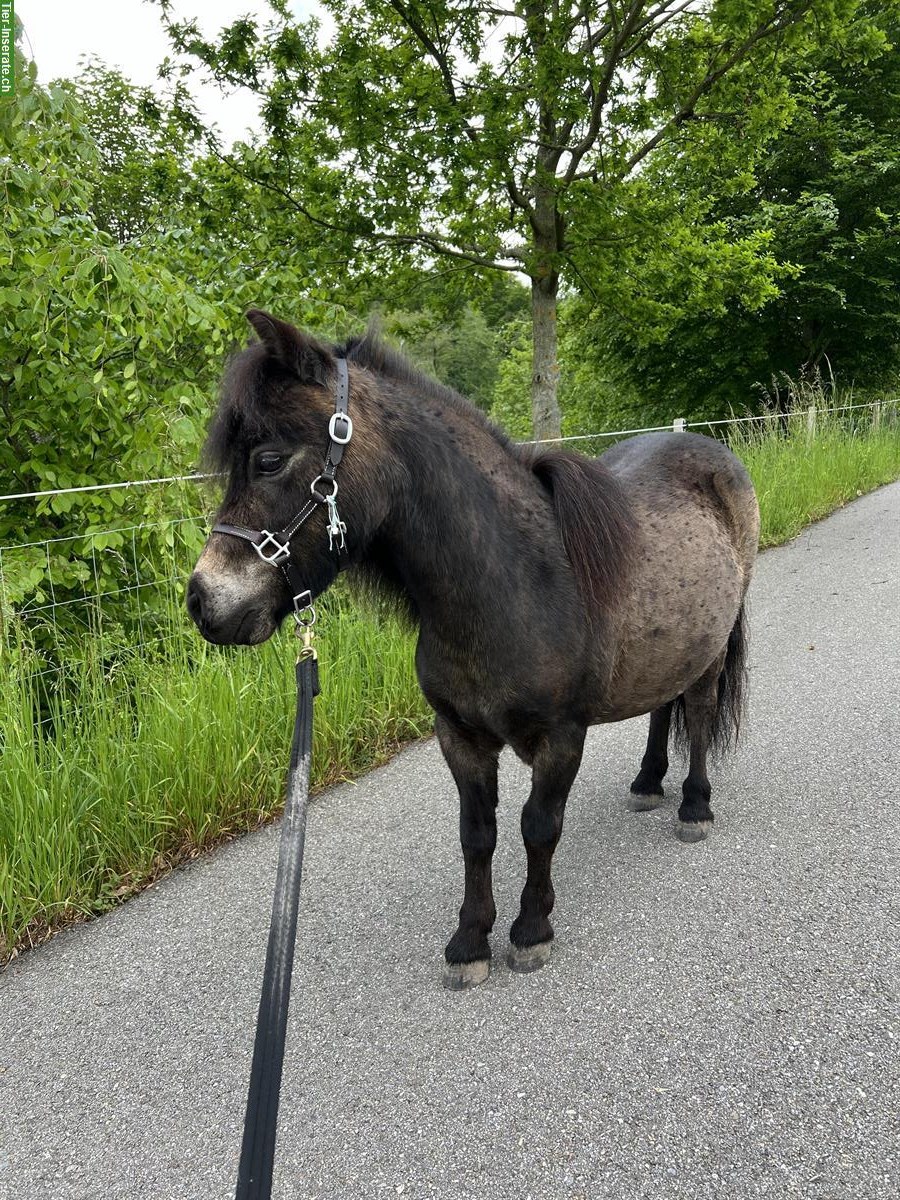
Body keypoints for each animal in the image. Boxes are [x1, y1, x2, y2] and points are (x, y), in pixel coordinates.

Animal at [188, 314, 763, 988]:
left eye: (269, 459)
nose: (203, 601)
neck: (512, 584)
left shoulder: (562, 738)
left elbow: (539, 827)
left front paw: (531, 931)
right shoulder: (459, 737)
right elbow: (477, 834)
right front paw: (469, 941)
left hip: (711, 649)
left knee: (694, 712)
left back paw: (694, 806)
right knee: (660, 704)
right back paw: (649, 782)